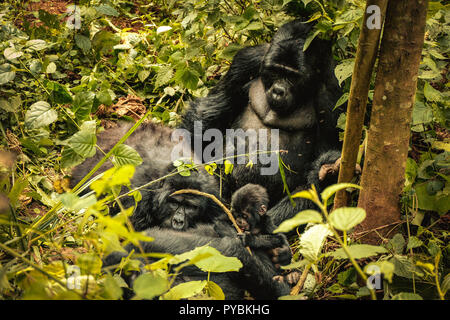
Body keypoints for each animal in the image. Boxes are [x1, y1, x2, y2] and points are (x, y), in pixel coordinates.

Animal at [179, 20, 344, 225]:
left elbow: (324, 161)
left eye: (292, 76)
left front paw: (326, 171)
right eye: (275, 71)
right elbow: (211, 111)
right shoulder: (247, 60)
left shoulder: (332, 88)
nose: (278, 91)